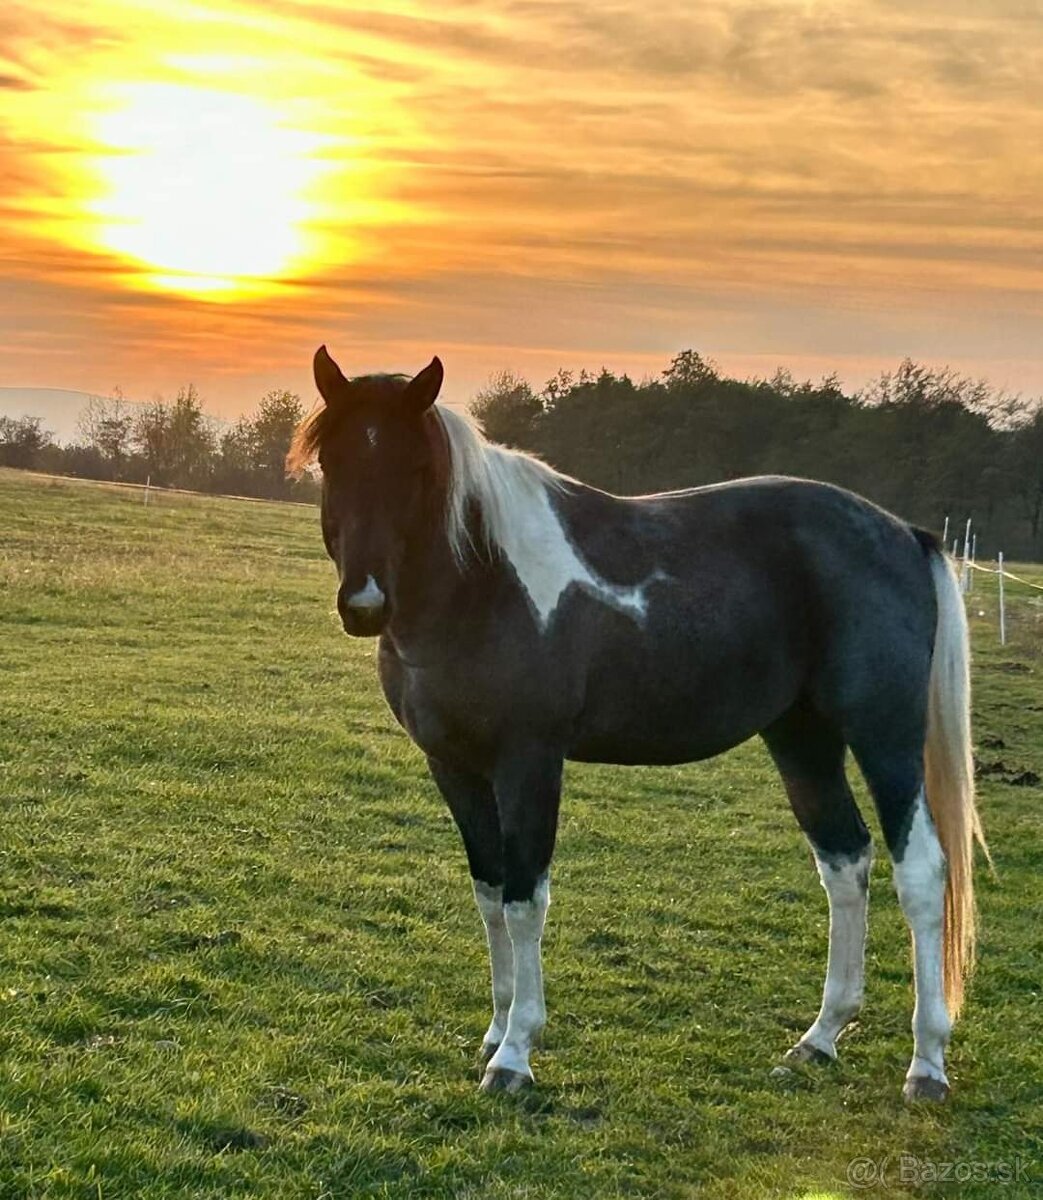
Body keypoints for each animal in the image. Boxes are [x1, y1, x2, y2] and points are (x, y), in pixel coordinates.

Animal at [289, 343, 988, 1099]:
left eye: (416, 469)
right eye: (332, 462)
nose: (364, 604)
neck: (483, 581)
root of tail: (900, 533)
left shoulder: (529, 761)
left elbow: (524, 899)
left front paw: (515, 1054)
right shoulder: (453, 766)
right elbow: (489, 892)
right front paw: (495, 1030)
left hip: (884, 737)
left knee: (919, 873)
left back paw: (926, 1063)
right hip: (801, 738)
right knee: (844, 861)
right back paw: (819, 1039)